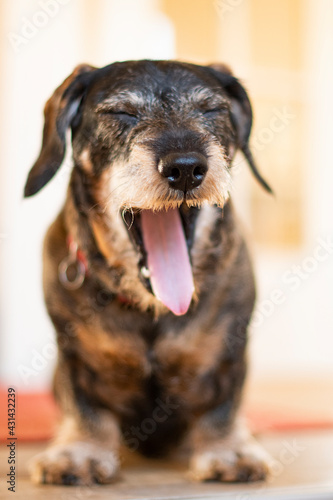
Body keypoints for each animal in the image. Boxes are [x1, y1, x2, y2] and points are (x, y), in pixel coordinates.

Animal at [24, 59, 272, 484]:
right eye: (121, 112)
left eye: (212, 109)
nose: (186, 168)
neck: (153, 310)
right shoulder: (73, 355)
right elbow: (85, 406)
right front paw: (80, 451)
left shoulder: (230, 349)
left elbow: (222, 405)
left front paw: (227, 449)